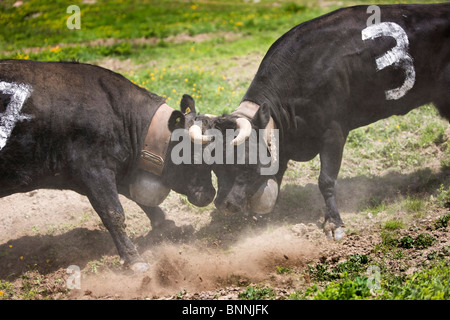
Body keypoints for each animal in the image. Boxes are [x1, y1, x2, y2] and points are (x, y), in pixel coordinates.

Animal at [0, 58, 216, 272]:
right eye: (193, 154)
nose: (210, 194)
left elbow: (140, 199)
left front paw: (168, 226)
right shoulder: (94, 171)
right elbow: (113, 213)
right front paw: (134, 259)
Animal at [211, 4, 450, 240]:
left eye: (246, 161)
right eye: (215, 165)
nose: (224, 205)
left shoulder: (333, 131)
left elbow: (326, 180)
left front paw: (333, 222)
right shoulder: (283, 144)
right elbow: (276, 180)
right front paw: (263, 220)